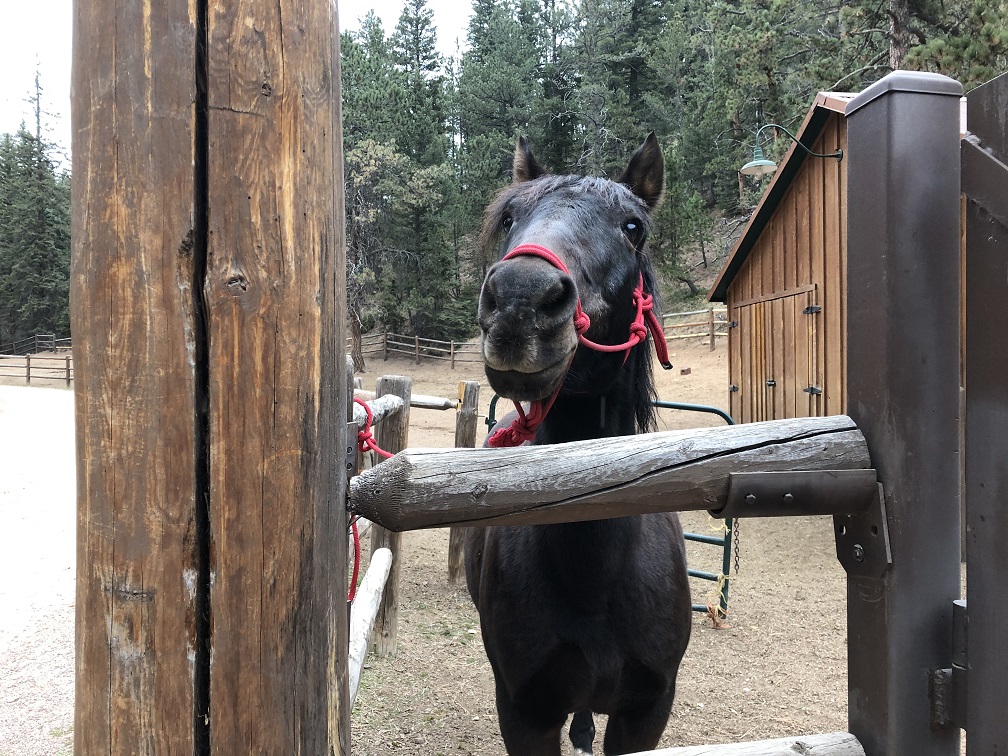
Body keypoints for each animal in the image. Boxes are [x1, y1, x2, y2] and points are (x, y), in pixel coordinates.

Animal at [463, 138, 693, 756]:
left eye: (633, 226)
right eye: (510, 217)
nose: (520, 299)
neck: (593, 577)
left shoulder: (645, 714)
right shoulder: (524, 714)